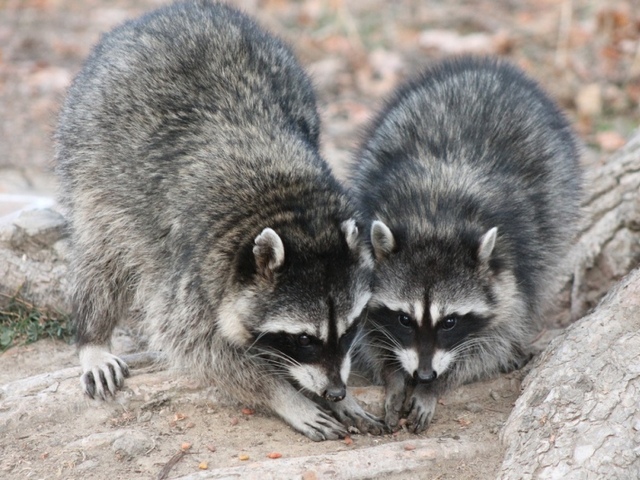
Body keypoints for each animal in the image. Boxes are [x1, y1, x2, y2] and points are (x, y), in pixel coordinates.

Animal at [53, 0, 380, 442]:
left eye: (347, 331)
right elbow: (199, 346)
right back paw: (93, 338)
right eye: (304, 339)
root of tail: (174, 11)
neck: (288, 204)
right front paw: (283, 395)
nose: (335, 391)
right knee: (102, 253)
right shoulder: (193, 267)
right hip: (89, 152)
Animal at [348, 58, 584, 434]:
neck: (435, 221)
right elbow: (367, 333)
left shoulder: (511, 267)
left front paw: (434, 386)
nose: (424, 374)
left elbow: (495, 338)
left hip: (559, 188)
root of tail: (492, 68)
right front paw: (393, 373)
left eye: (449, 322)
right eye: (403, 319)